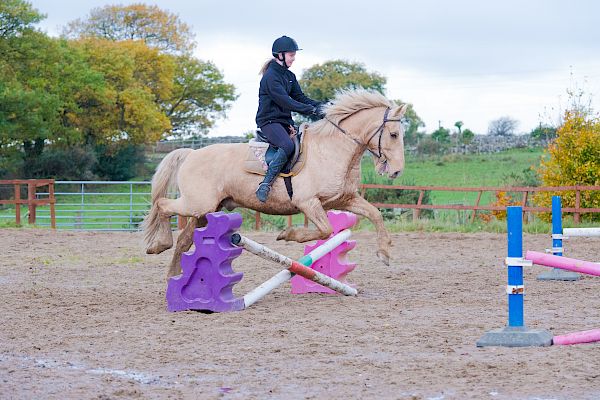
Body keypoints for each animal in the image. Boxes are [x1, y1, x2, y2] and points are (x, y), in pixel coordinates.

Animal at [143, 88, 410, 276]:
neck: (332, 150)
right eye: (393, 134)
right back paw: (159, 245)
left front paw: (384, 253)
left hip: (206, 210)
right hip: (197, 204)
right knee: (163, 205)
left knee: (184, 240)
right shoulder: (308, 203)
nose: (397, 171)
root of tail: (191, 153)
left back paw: (173, 277)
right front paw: (288, 234)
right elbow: (325, 230)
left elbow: (375, 214)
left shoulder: (344, 200)